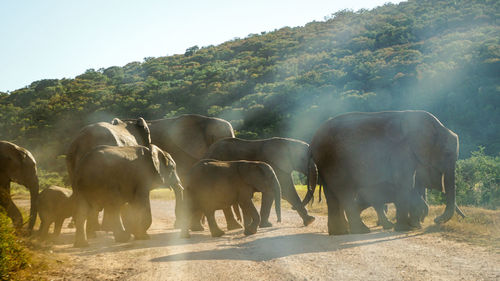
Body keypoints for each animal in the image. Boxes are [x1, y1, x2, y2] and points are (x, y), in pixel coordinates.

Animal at [308, 110, 460, 234]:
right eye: (447, 153)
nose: (437, 220)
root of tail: (313, 140)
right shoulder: (402, 151)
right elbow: (405, 181)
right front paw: (405, 229)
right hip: (334, 161)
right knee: (345, 192)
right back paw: (361, 231)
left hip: (325, 162)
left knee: (332, 195)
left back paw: (340, 232)